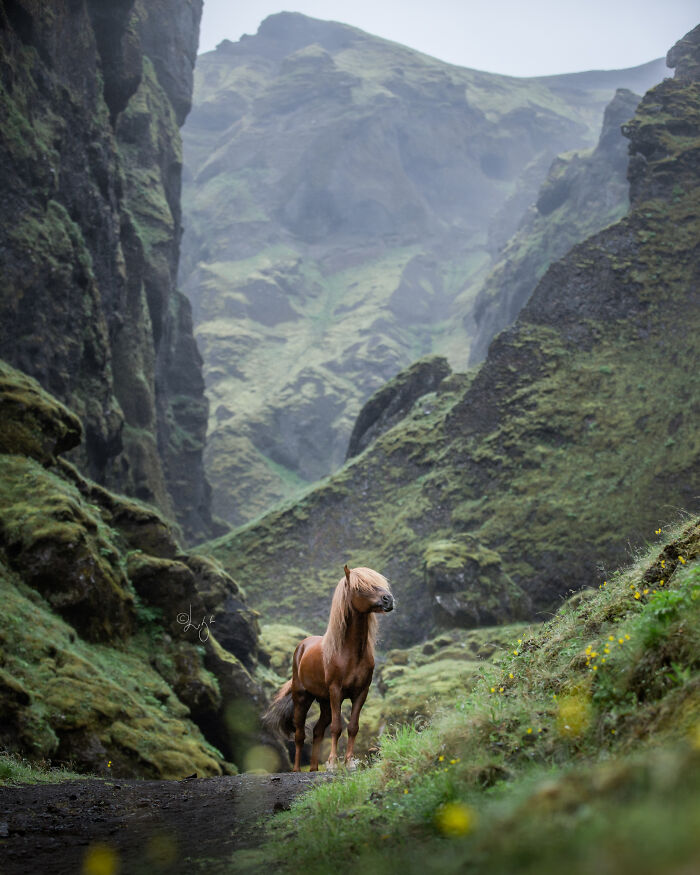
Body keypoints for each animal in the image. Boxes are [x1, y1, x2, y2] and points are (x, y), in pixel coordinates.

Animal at [265, 565, 394, 771]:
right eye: (359, 587)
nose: (388, 599)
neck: (349, 653)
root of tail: (302, 646)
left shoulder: (361, 692)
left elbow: (353, 727)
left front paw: (349, 762)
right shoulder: (336, 691)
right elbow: (336, 727)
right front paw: (333, 763)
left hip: (323, 701)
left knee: (317, 731)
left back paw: (314, 768)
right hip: (303, 698)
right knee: (300, 734)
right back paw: (297, 769)